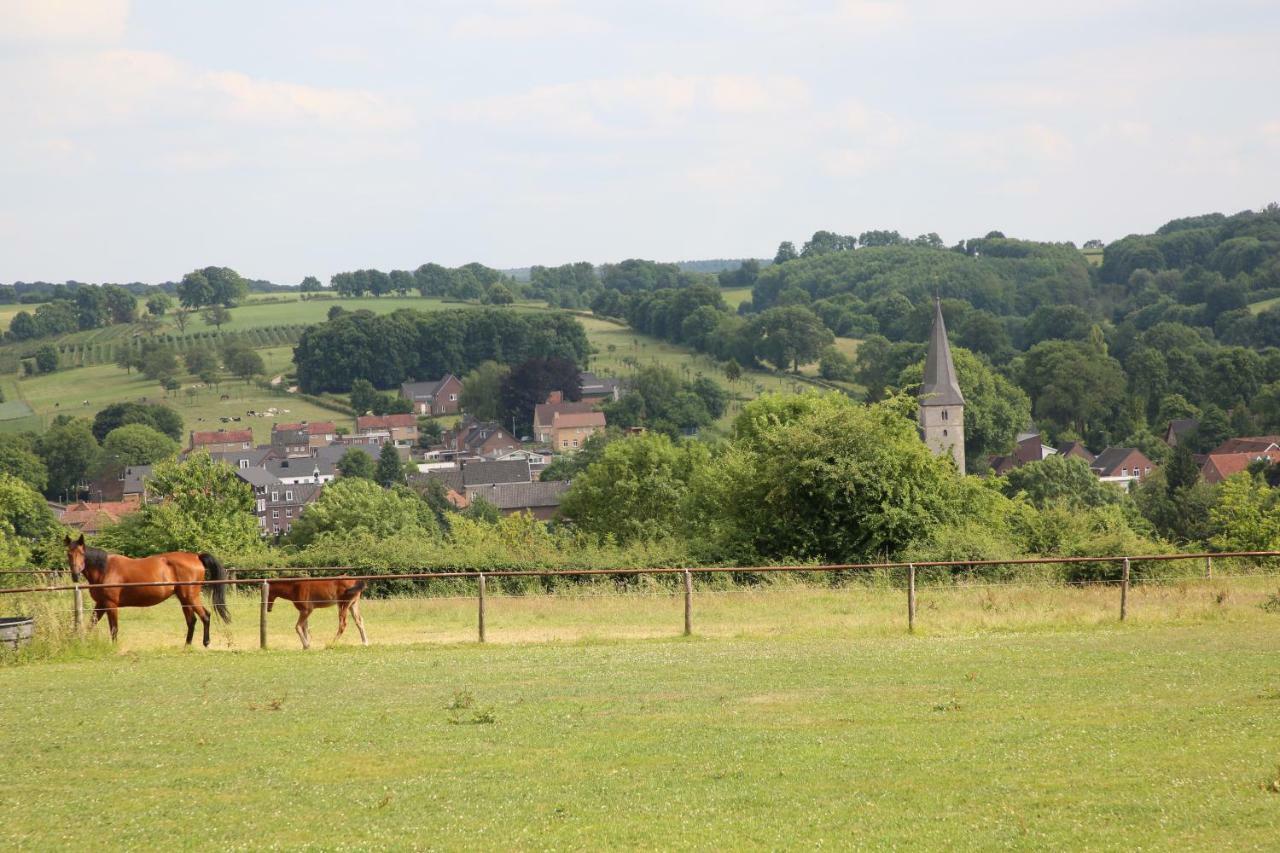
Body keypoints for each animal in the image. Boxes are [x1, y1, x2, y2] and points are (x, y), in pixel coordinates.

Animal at [64, 532, 231, 645]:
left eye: (82, 553)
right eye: (69, 553)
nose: (75, 575)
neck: (105, 569)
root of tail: (196, 556)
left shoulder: (111, 605)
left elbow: (114, 628)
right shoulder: (101, 604)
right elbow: (91, 624)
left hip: (190, 597)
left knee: (205, 616)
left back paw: (206, 643)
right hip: (184, 599)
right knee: (192, 621)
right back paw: (187, 646)